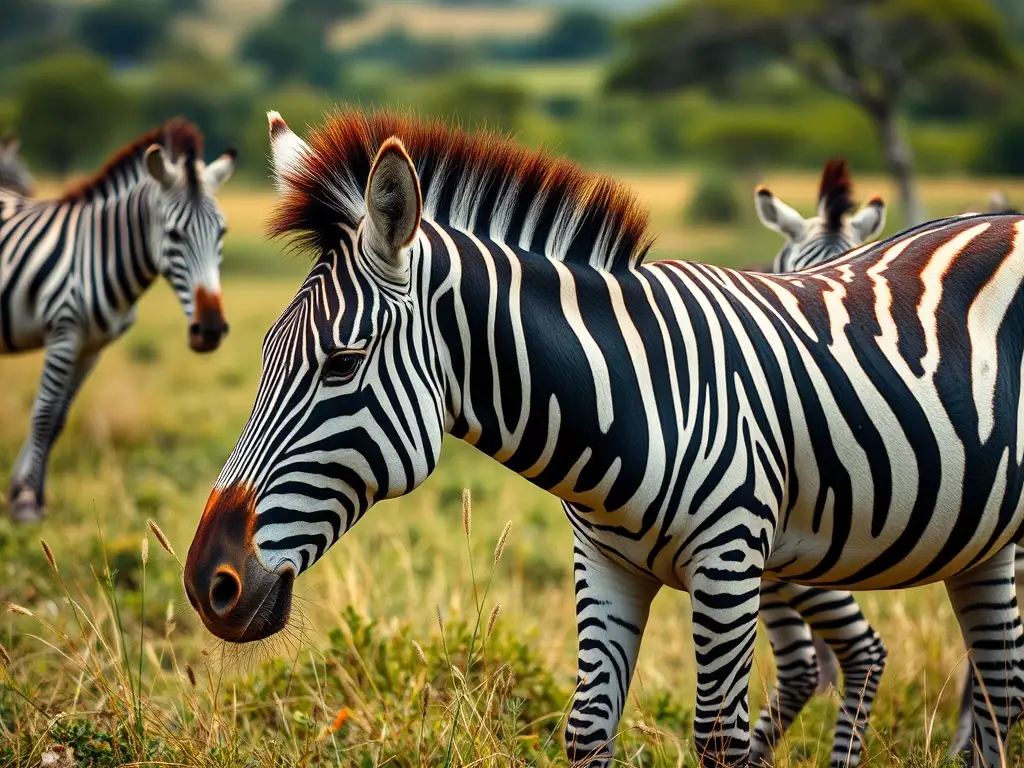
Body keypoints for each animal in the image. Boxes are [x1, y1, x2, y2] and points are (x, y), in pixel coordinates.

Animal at [1, 118, 235, 523]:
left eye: (222, 232)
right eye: (174, 234)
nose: (210, 330)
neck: (100, 252)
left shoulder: (91, 346)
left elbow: (57, 421)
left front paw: (34, 496)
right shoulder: (63, 333)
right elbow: (43, 415)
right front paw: (26, 504)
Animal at [183, 110, 1024, 768]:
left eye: (342, 363)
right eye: (263, 355)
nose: (205, 584)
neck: (633, 400)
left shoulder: (728, 562)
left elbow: (717, 736)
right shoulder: (607, 563)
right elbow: (587, 728)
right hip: (979, 538)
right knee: (996, 693)